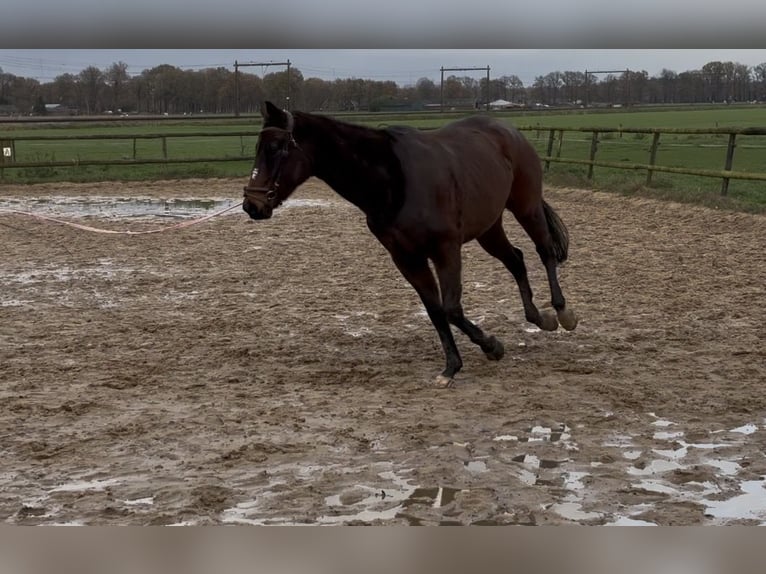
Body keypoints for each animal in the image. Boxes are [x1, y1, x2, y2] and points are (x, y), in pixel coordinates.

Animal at [243, 101, 578, 388]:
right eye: (258, 147)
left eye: (276, 148)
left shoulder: (446, 250)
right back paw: (539, 318)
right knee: (516, 260)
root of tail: (508, 130)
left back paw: (562, 313)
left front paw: (492, 346)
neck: (394, 181)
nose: (251, 205)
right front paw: (452, 366)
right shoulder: (406, 258)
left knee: (545, 252)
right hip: (489, 228)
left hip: (526, 207)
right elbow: (435, 310)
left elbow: (451, 308)